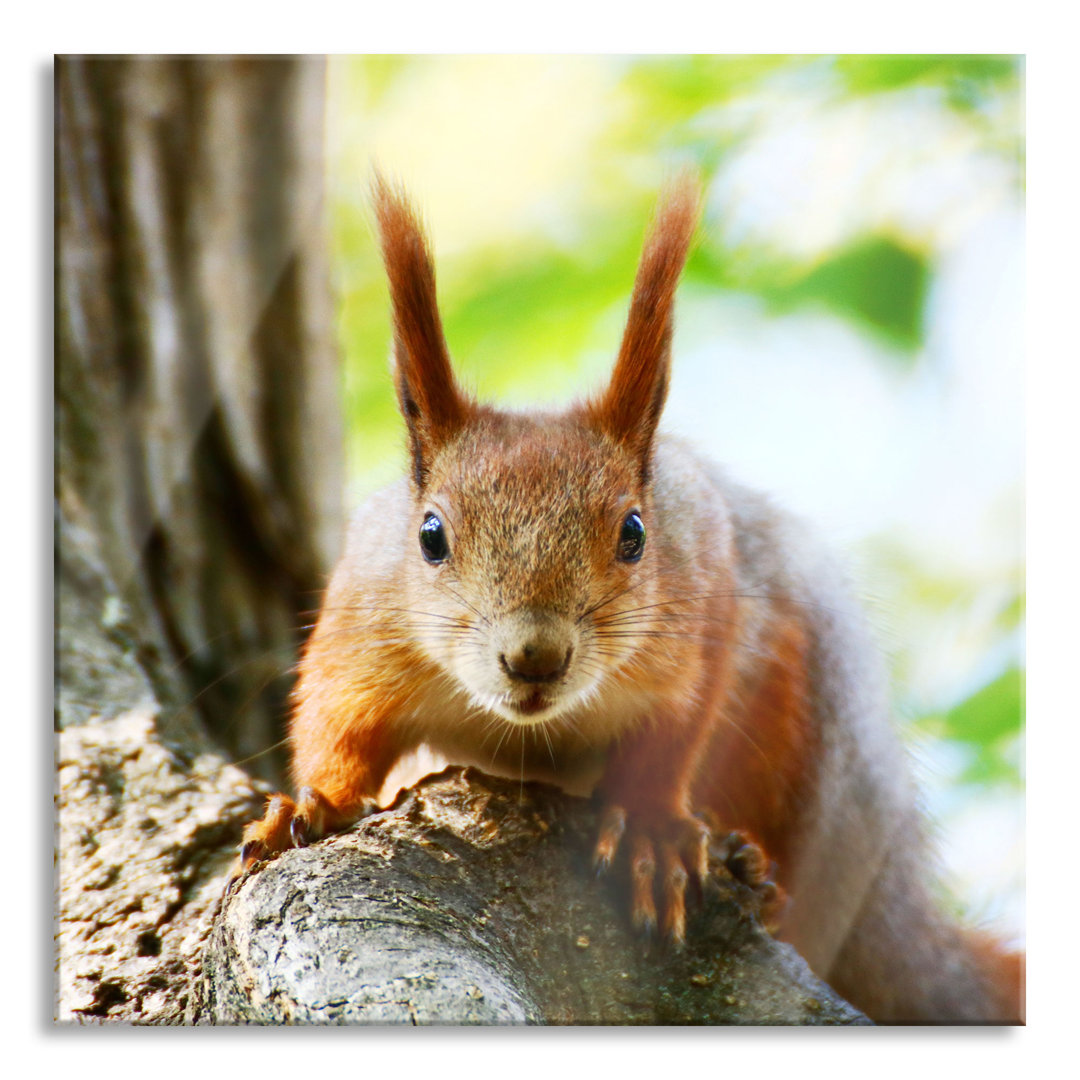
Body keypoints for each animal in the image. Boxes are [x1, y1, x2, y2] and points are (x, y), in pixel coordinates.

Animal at [232, 172, 1023, 1023]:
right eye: (431, 536)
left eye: (636, 532)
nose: (534, 656)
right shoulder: (364, 621)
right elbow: (337, 722)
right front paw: (312, 804)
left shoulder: (705, 604)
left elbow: (675, 730)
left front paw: (651, 831)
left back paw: (753, 867)